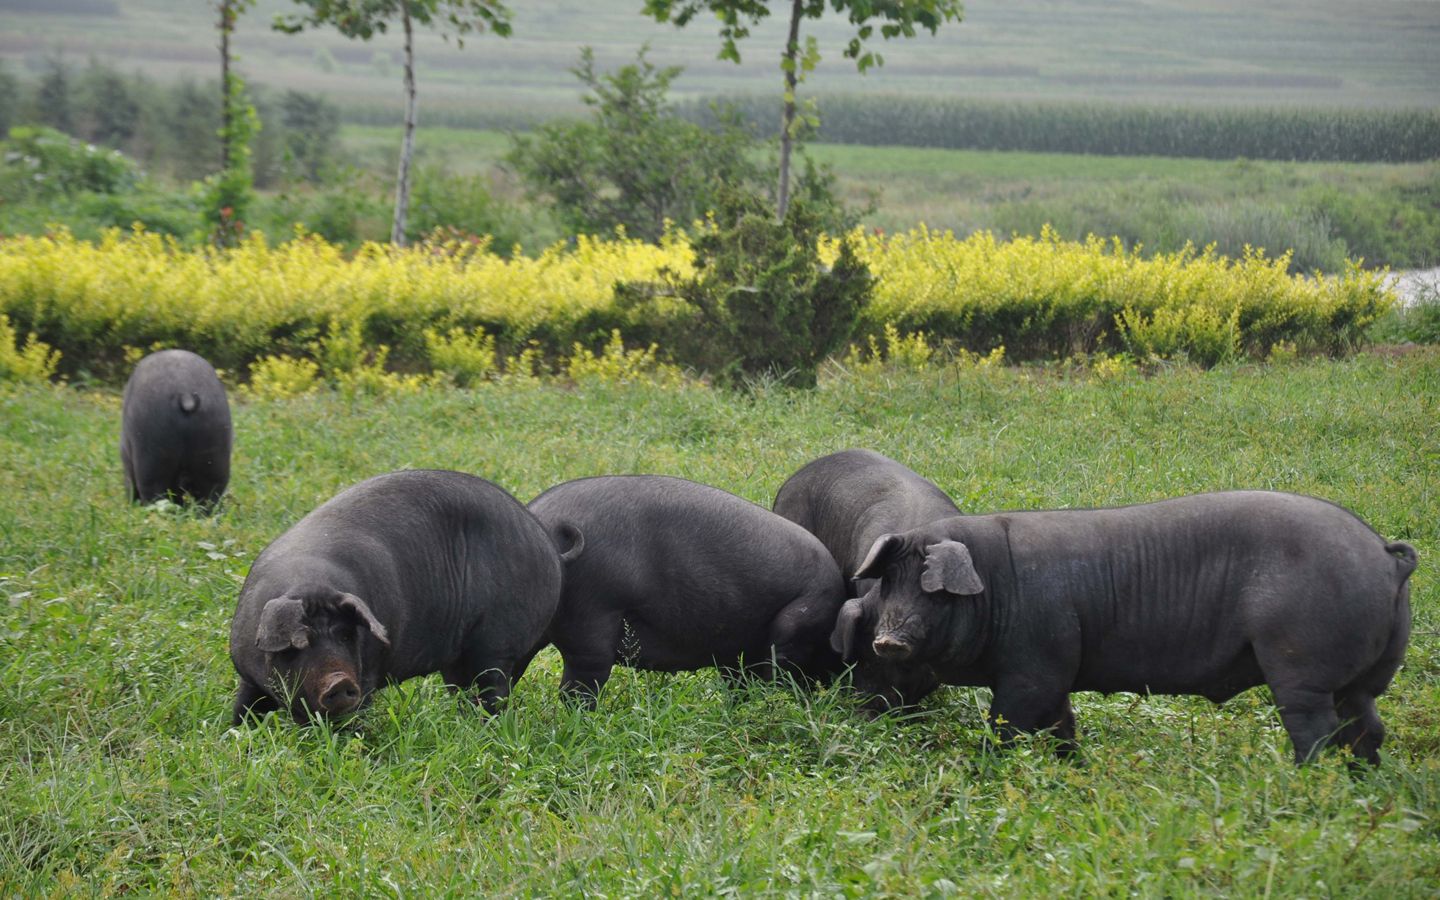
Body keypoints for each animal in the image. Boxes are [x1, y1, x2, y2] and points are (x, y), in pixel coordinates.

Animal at [227, 469, 558, 722]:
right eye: (299, 645)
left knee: (492, 688)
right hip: (459, 658)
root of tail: (545, 542)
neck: (308, 582)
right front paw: (239, 732)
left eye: (346, 635)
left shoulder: (368, 674)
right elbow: (245, 706)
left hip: (498, 644)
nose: (339, 681)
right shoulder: (247, 673)